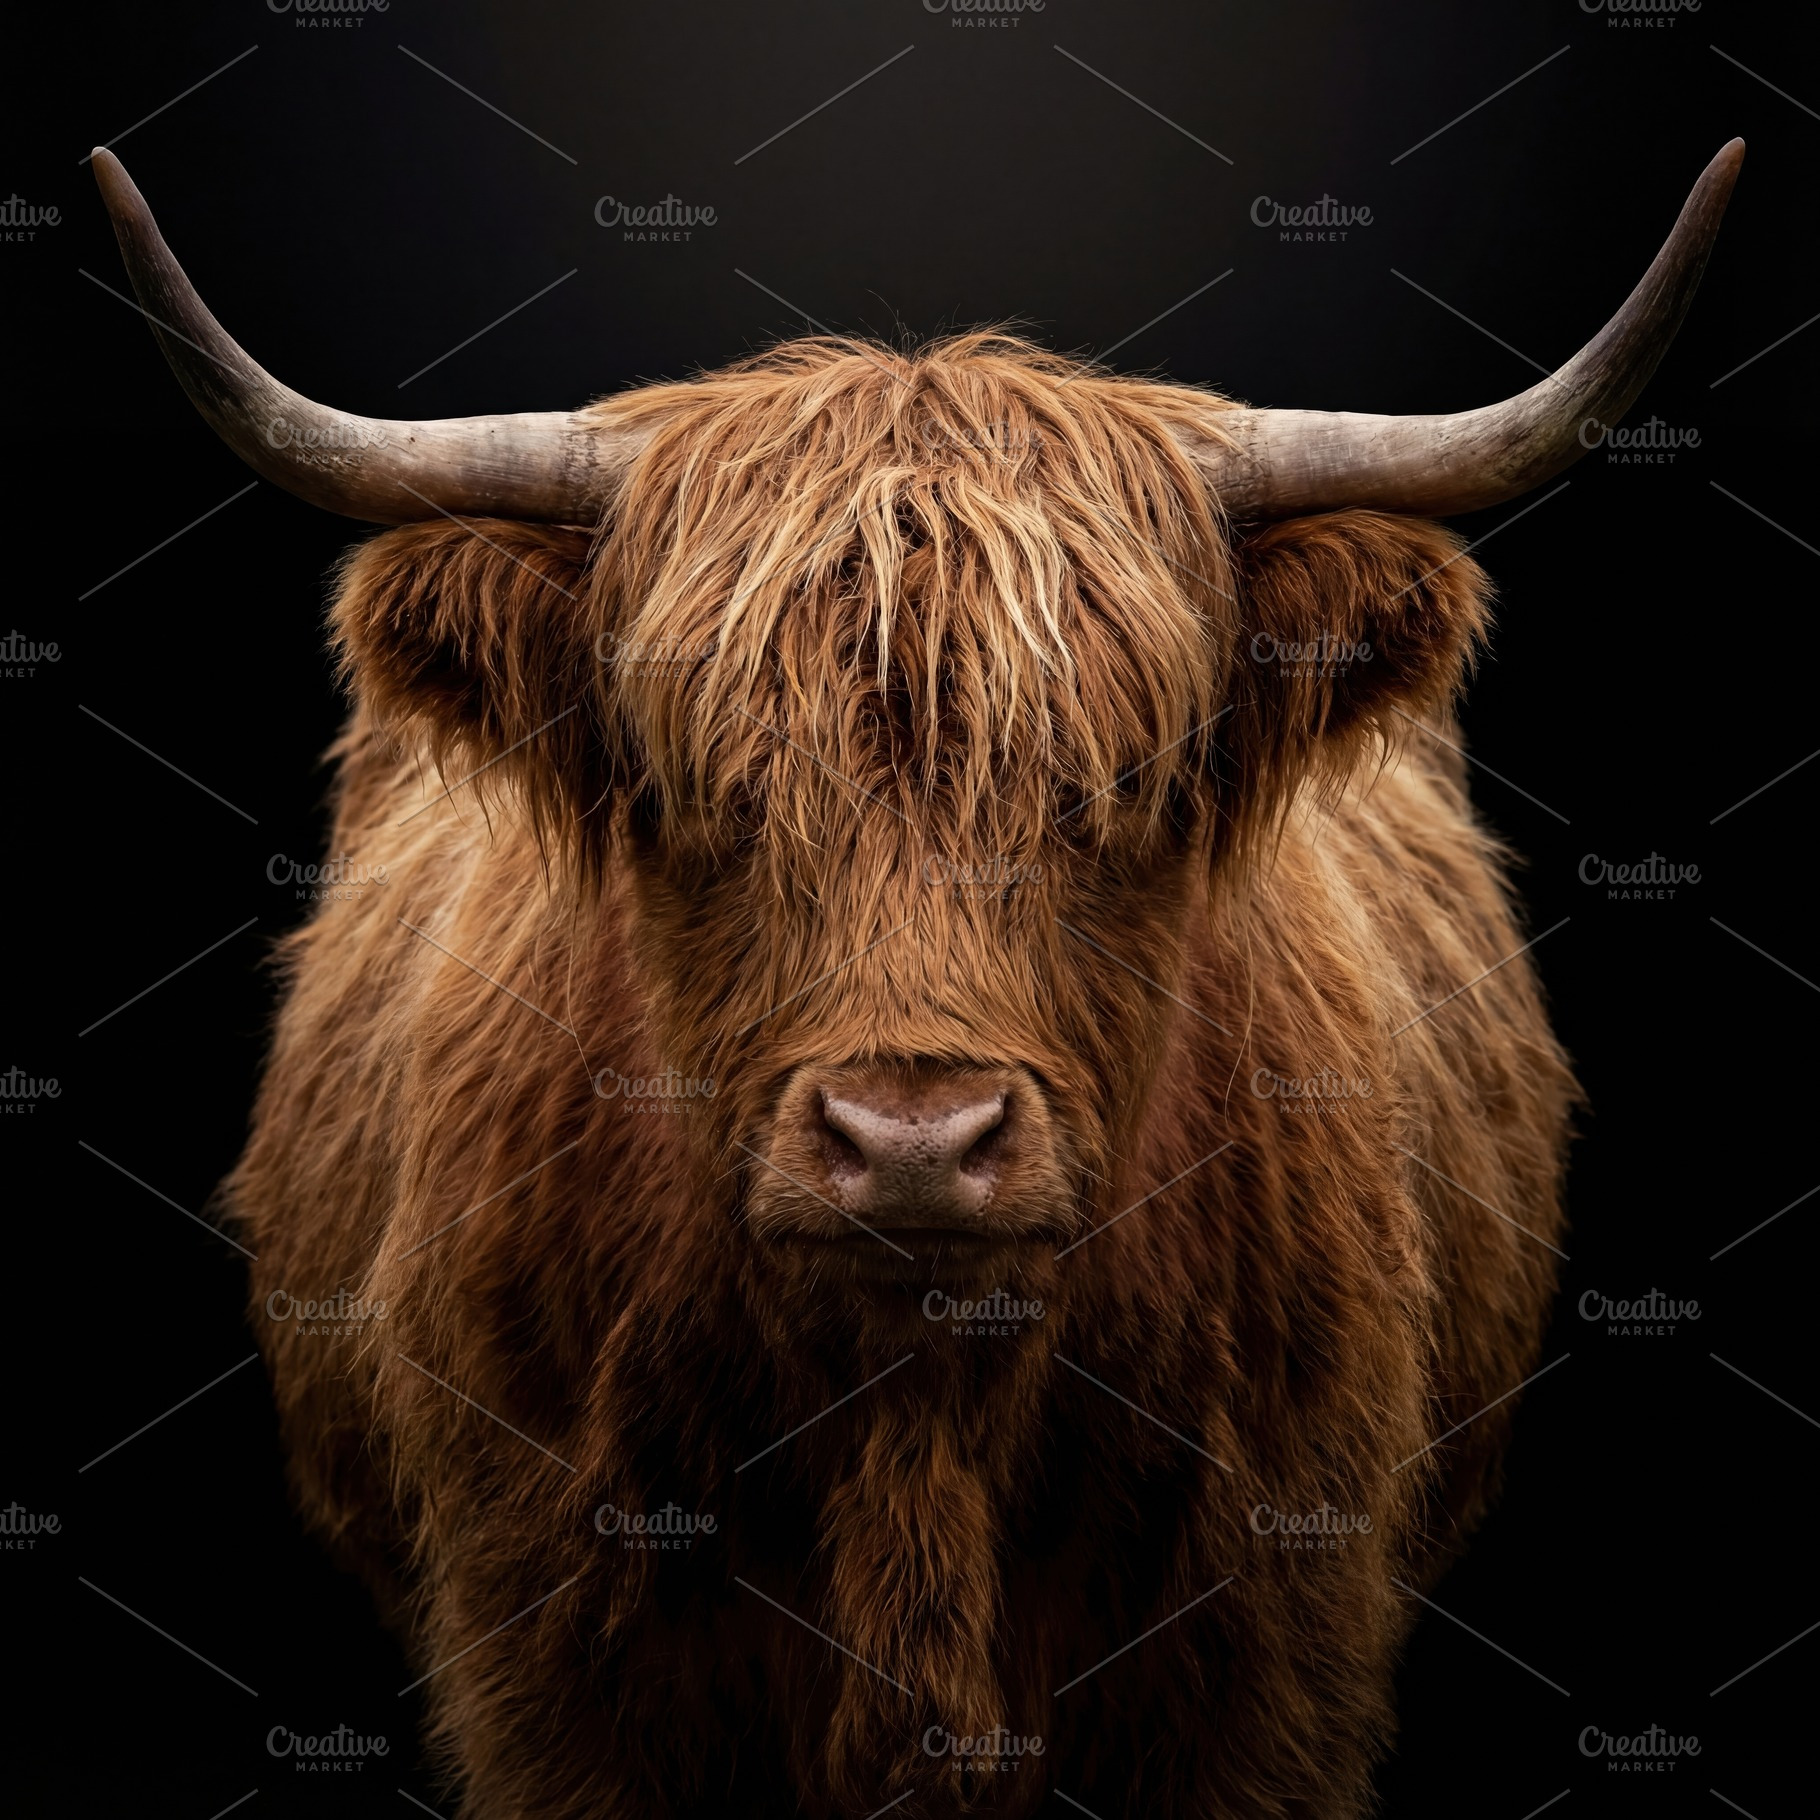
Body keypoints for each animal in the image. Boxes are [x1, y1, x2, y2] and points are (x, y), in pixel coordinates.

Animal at [95, 140, 1740, 1818]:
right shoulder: (551, 1675)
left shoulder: (1271, 1664)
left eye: (1118, 789)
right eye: (707, 798)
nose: (912, 1146)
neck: (916, 1428)